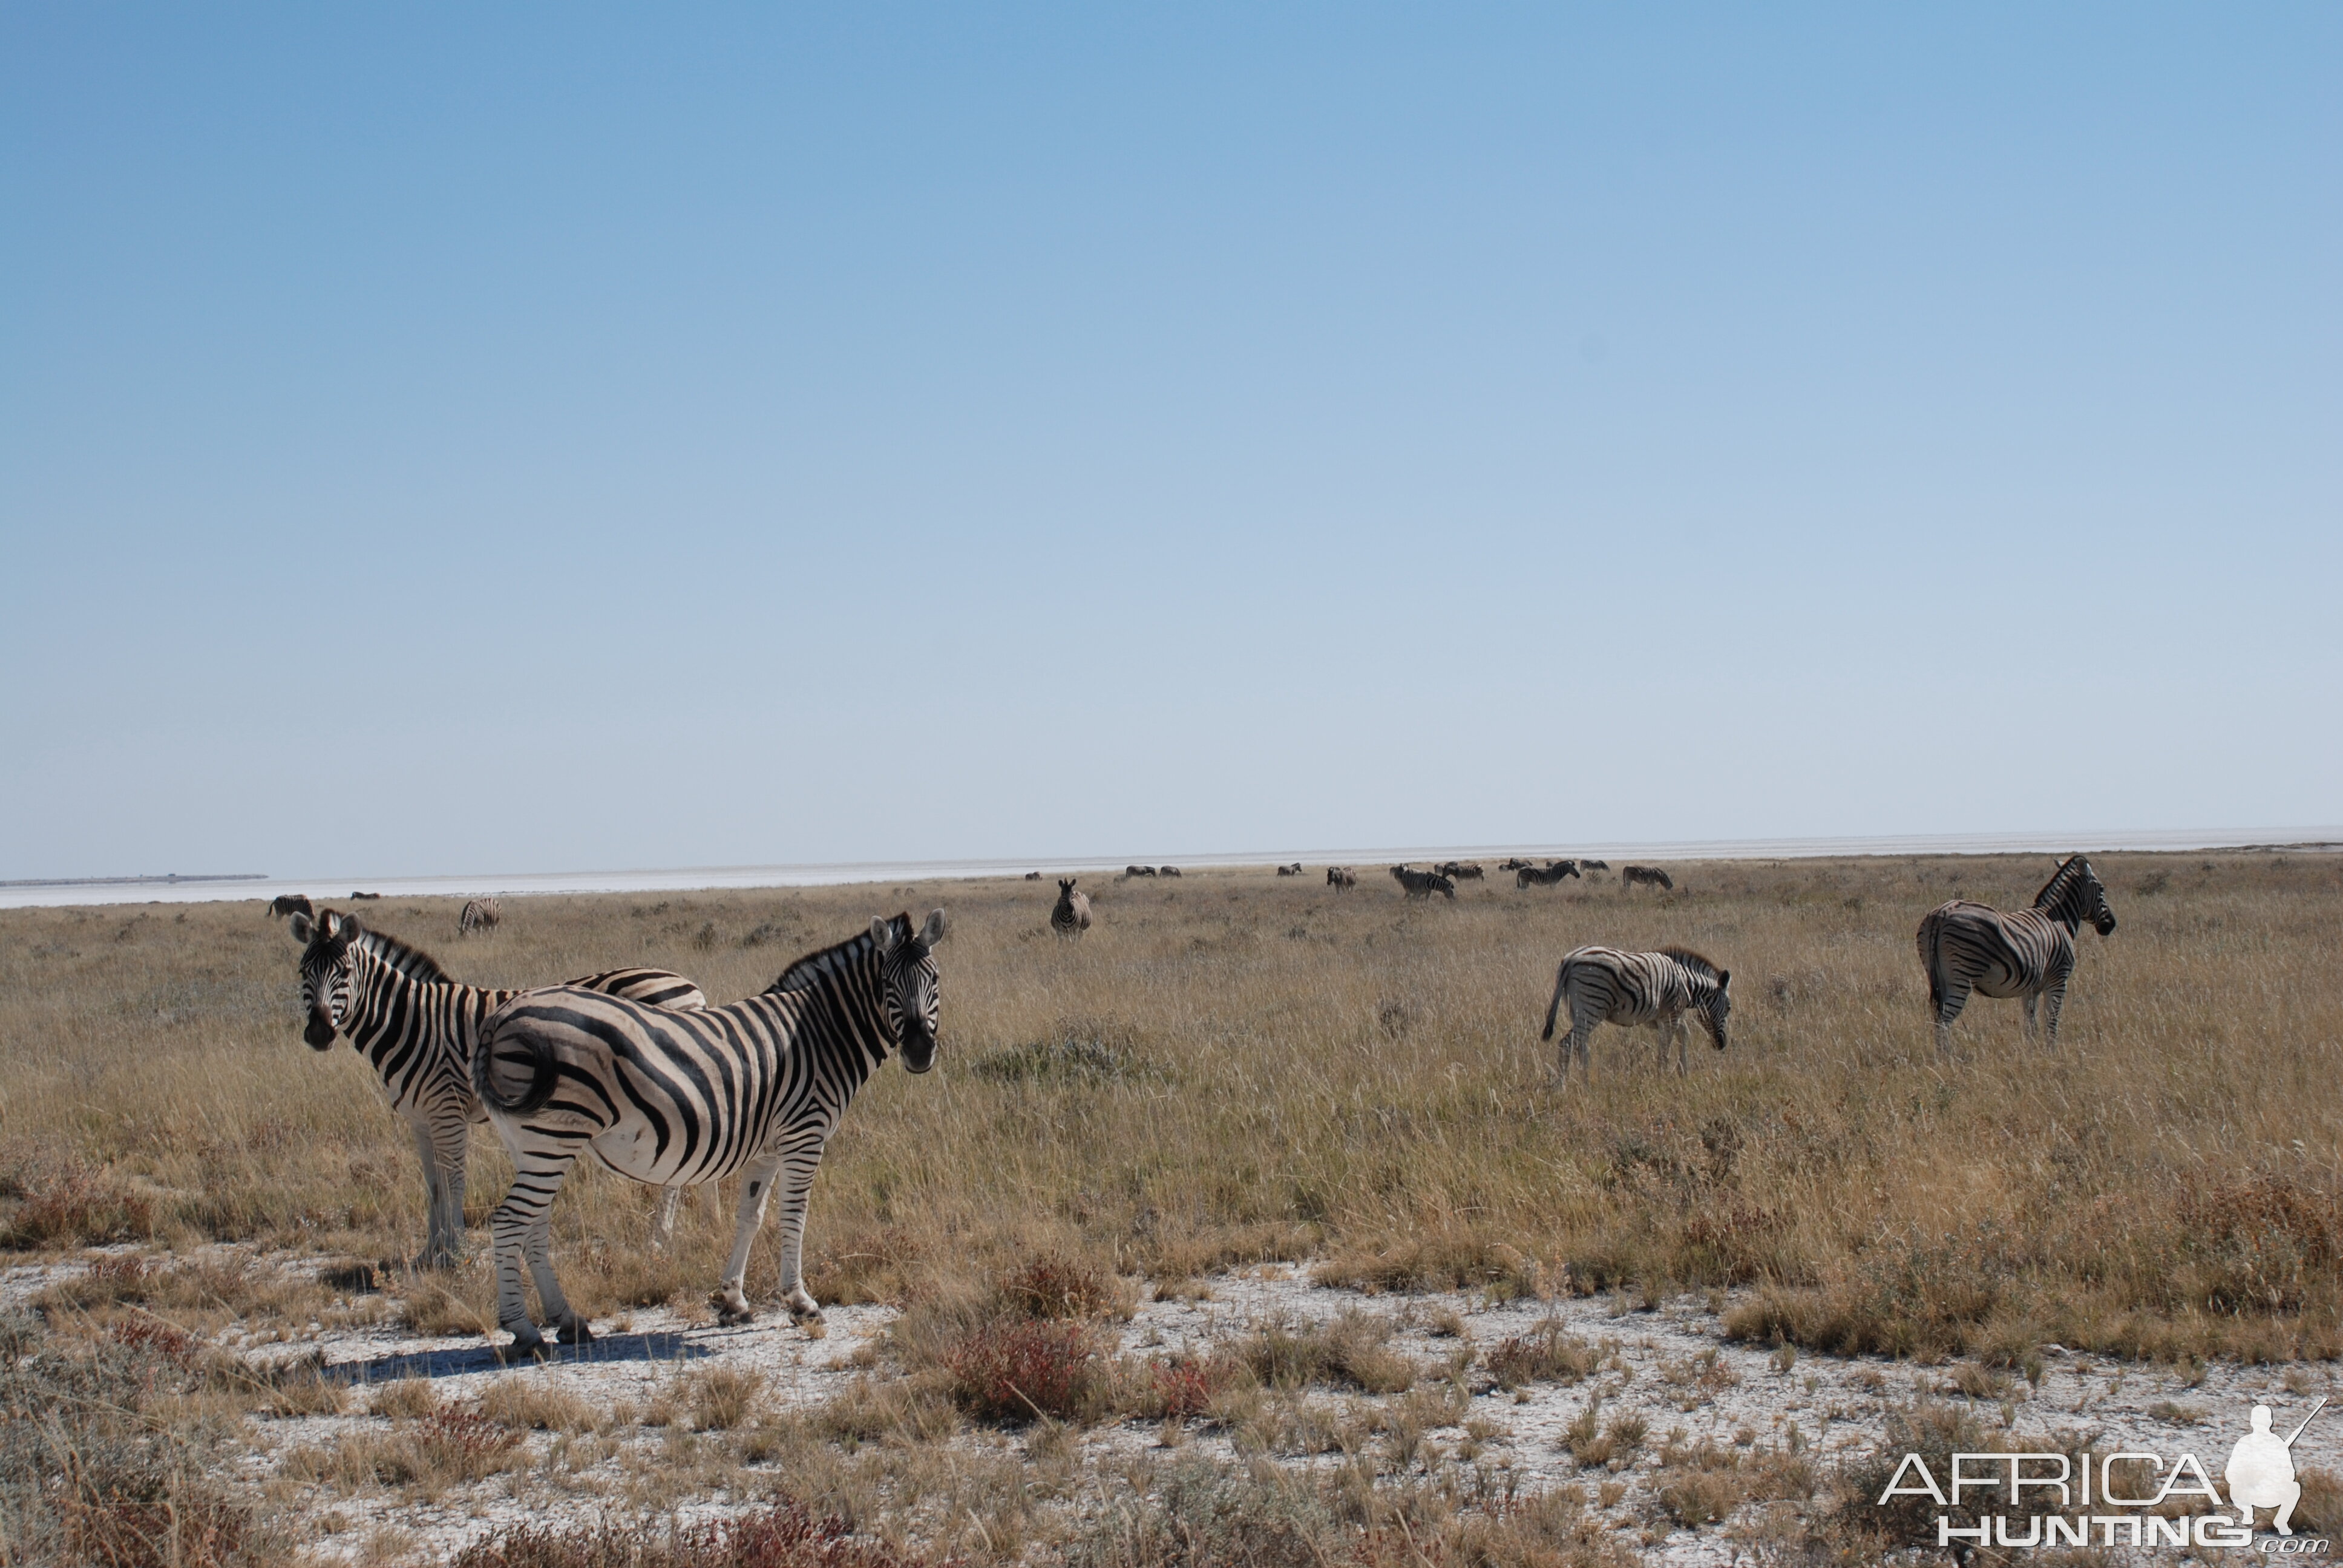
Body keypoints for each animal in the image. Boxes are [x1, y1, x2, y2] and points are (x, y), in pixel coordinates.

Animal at [290, 904, 703, 1275]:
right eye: (303, 972)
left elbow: (454, 1180)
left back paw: (659, 1238)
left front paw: (455, 1254)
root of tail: (688, 986)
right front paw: (429, 1253)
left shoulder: (447, 1107)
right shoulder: (420, 1118)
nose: (319, 1034)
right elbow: (433, 1183)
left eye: (345, 972)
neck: (411, 1022)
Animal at [471, 909, 946, 1350]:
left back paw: (568, 1321)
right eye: (887, 984)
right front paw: (801, 1303)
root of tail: (503, 1014)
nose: (920, 1052)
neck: (820, 1035)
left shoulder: (767, 1149)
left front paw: (734, 1301)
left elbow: (750, 1217)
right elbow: (794, 1217)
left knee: (535, 1225)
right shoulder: (804, 1136)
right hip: (553, 1137)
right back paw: (524, 1331)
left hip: (529, 1142)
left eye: (936, 980)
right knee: (510, 1221)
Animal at [1537, 947, 1743, 1082]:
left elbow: (1683, 1033)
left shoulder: (1659, 1019)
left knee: (1581, 1046)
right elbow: (1665, 1047)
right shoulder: (1671, 1015)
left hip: (1577, 1011)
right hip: (1594, 1007)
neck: (1687, 983)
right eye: (1729, 1008)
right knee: (1567, 1044)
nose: (1721, 1045)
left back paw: (1586, 1084)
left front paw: (1683, 1071)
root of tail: (1570, 960)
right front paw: (1662, 1076)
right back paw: (1562, 1088)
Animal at [1921, 848, 2127, 1059]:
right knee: (1944, 1019)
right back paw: (1947, 1058)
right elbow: (2052, 1019)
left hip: (1937, 976)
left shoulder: (2031, 988)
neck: (2059, 920)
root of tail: (1941, 913)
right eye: (2101, 889)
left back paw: (1941, 1056)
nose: (2111, 925)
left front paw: (2033, 1051)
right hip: (1963, 975)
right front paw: (2052, 1052)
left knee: (1937, 1016)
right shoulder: (2059, 980)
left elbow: (2031, 1023)